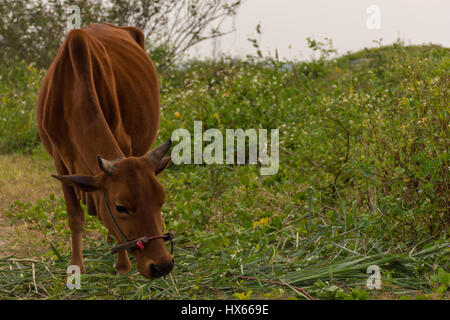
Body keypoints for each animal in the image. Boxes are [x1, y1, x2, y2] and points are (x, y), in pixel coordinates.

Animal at [37, 23, 173, 278]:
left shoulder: (124, 142)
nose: (162, 265)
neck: (72, 92)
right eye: (121, 207)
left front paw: (122, 266)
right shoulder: (59, 161)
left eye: (161, 200)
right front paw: (76, 267)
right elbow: (75, 216)